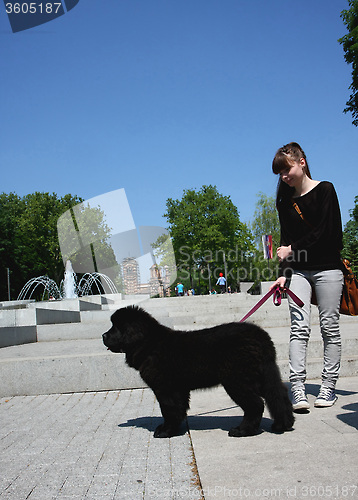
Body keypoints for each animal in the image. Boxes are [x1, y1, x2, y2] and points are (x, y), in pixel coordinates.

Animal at [103, 304, 294, 438]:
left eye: (116, 327)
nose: (103, 336)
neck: (149, 344)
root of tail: (261, 337)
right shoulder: (178, 390)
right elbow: (178, 410)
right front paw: (173, 429)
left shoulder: (165, 389)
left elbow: (168, 410)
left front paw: (165, 431)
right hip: (261, 376)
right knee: (278, 395)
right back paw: (283, 425)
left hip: (236, 381)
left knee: (256, 404)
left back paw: (242, 430)